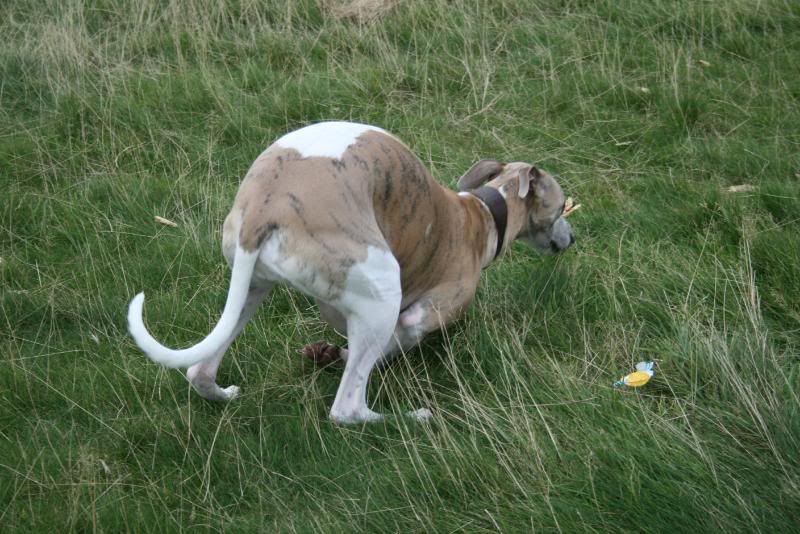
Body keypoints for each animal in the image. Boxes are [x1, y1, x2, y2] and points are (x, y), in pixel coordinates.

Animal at [128, 120, 572, 422]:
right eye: (563, 204)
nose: (572, 238)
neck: (481, 214)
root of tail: (263, 208)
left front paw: (327, 354)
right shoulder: (417, 317)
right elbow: (396, 338)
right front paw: (335, 357)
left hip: (252, 285)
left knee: (199, 370)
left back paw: (221, 392)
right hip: (382, 292)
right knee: (347, 407)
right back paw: (405, 418)